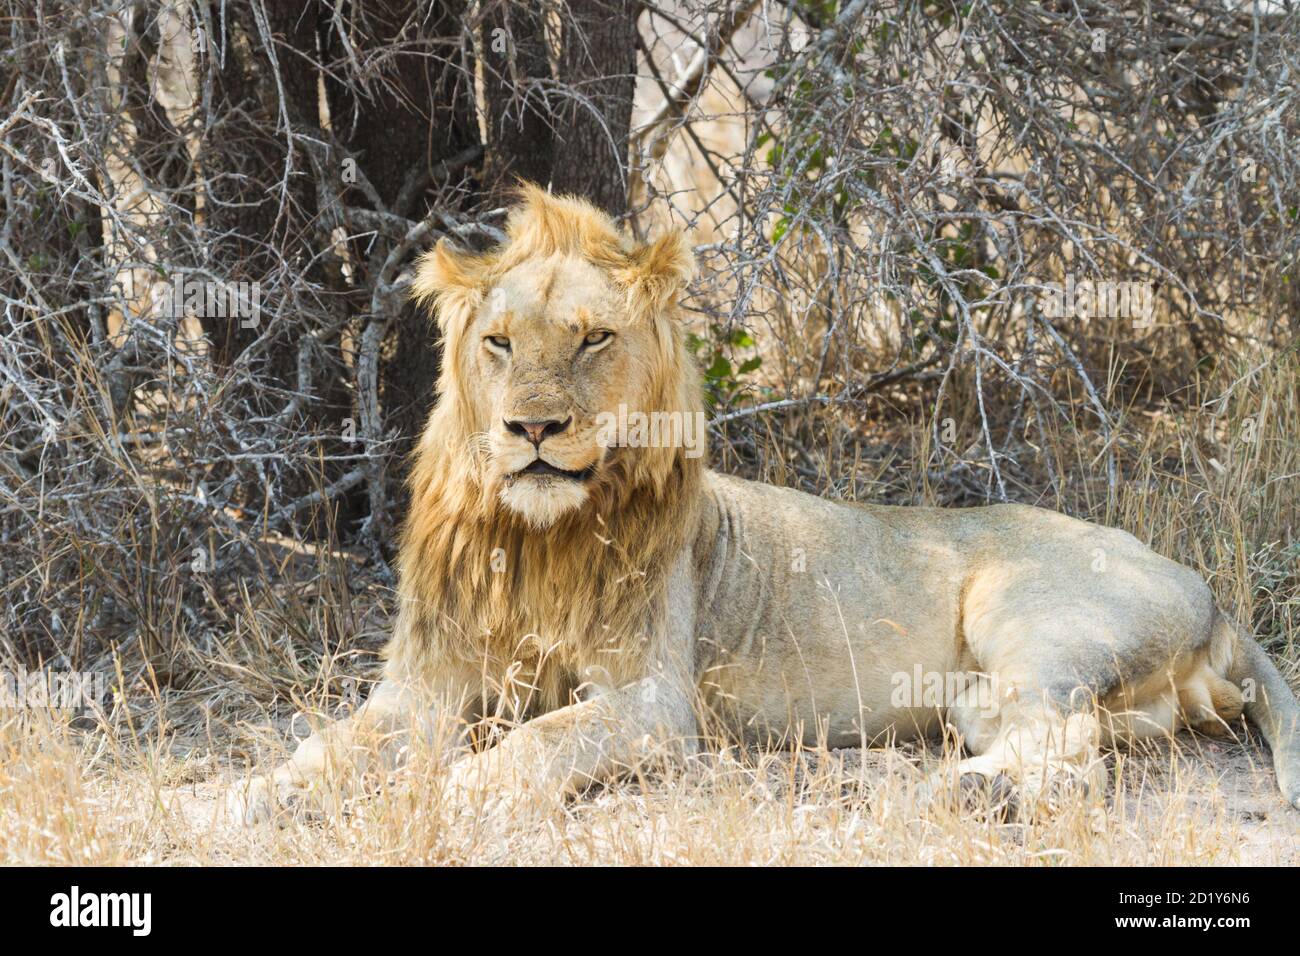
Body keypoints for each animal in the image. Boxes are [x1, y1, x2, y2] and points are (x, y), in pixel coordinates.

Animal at [229, 184, 1300, 824]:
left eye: (591, 339)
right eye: (498, 342)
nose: (533, 427)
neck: (533, 539)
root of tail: (1209, 592)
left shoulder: (652, 704)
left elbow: (535, 741)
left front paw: (452, 796)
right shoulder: (418, 691)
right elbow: (315, 752)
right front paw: (227, 802)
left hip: (1032, 623)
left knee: (1073, 752)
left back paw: (956, 796)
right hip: (994, 695)